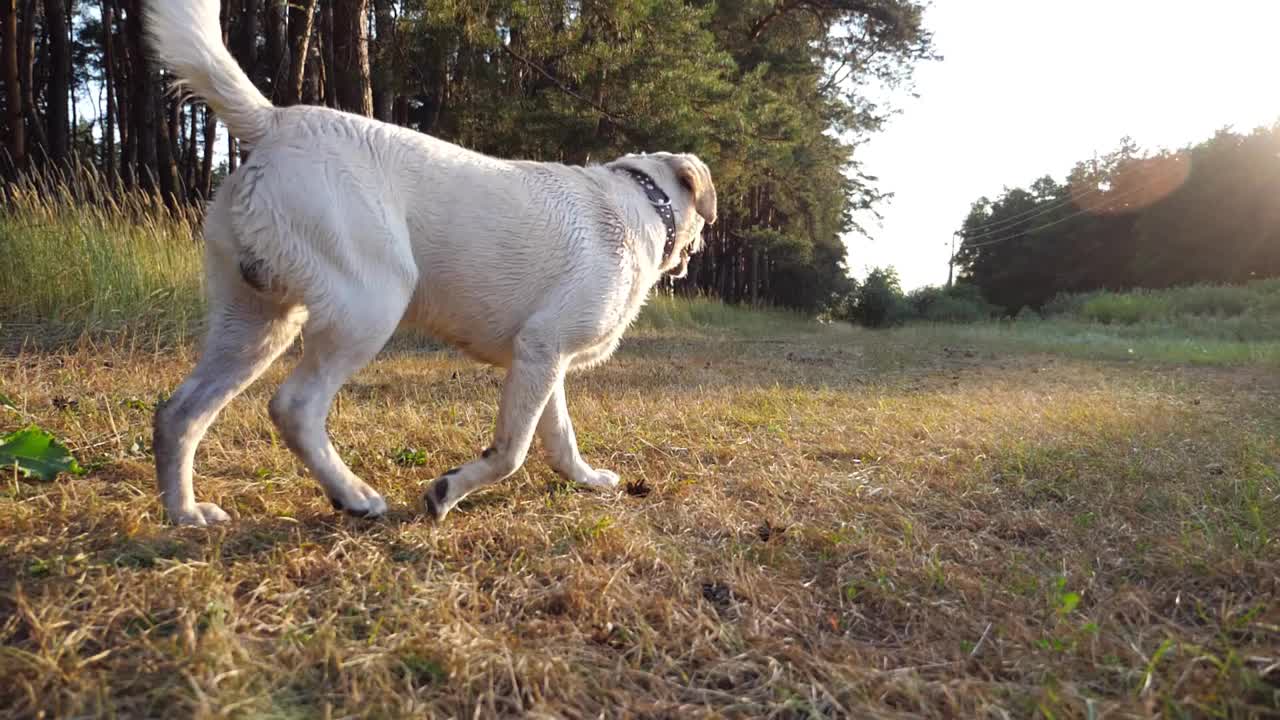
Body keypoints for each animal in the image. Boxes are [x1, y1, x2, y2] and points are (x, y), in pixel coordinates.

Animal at [147, 2, 721, 525]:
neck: (641, 203)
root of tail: (278, 121)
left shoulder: (542, 357)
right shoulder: (542, 349)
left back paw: (186, 513)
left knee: (179, 413)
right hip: (367, 308)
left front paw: (586, 478)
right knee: (294, 407)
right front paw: (448, 491)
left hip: (254, 324)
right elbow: (511, 453)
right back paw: (354, 495)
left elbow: (560, 438)